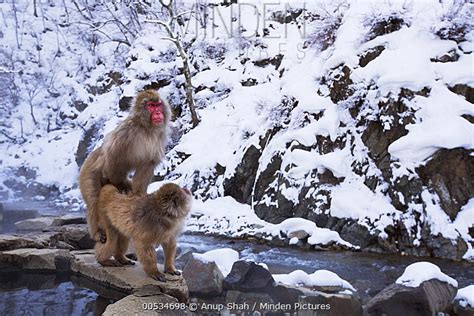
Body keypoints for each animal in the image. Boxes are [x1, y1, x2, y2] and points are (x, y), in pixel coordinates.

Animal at [79, 90, 170, 243]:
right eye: (151, 106)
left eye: (158, 105)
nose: (158, 113)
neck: (146, 128)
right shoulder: (126, 132)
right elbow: (114, 157)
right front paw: (120, 186)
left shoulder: (159, 137)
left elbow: (147, 165)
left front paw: (139, 194)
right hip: (88, 173)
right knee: (93, 198)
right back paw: (96, 232)